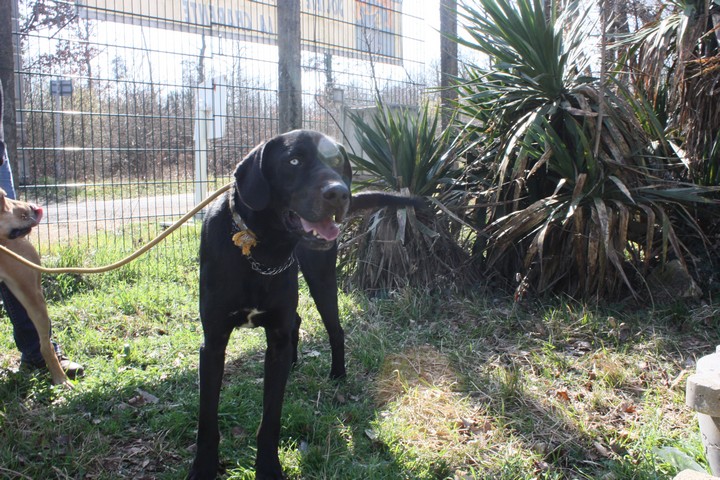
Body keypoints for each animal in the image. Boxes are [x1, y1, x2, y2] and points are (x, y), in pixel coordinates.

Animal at [191, 129, 420, 478]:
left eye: (337, 162)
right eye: (294, 161)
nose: (339, 194)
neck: (261, 250)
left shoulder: (277, 335)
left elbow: (270, 420)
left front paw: (269, 468)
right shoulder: (214, 343)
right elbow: (207, 418)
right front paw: (203, 467)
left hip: (321, 278)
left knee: (335, 329)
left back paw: (337, 374)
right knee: (298, 323)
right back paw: (296, 361)